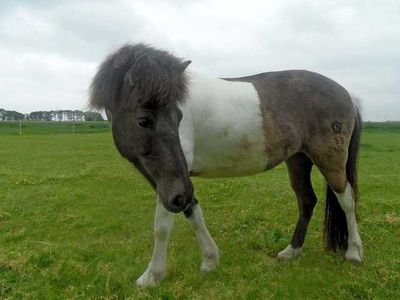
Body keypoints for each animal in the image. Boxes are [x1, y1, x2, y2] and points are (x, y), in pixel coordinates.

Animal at [90, 43, 362, 288]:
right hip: (298, 159)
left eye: (179, 117)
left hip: (330, 159)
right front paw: (210, 260)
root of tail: (346, 94)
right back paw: (291, 252)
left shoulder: (173, 176)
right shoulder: (171, 181)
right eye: (143, 121)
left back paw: (354, 252)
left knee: (346, 199)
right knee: (307, 201)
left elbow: (162, 226)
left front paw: (152, 276)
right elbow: (191, 209)